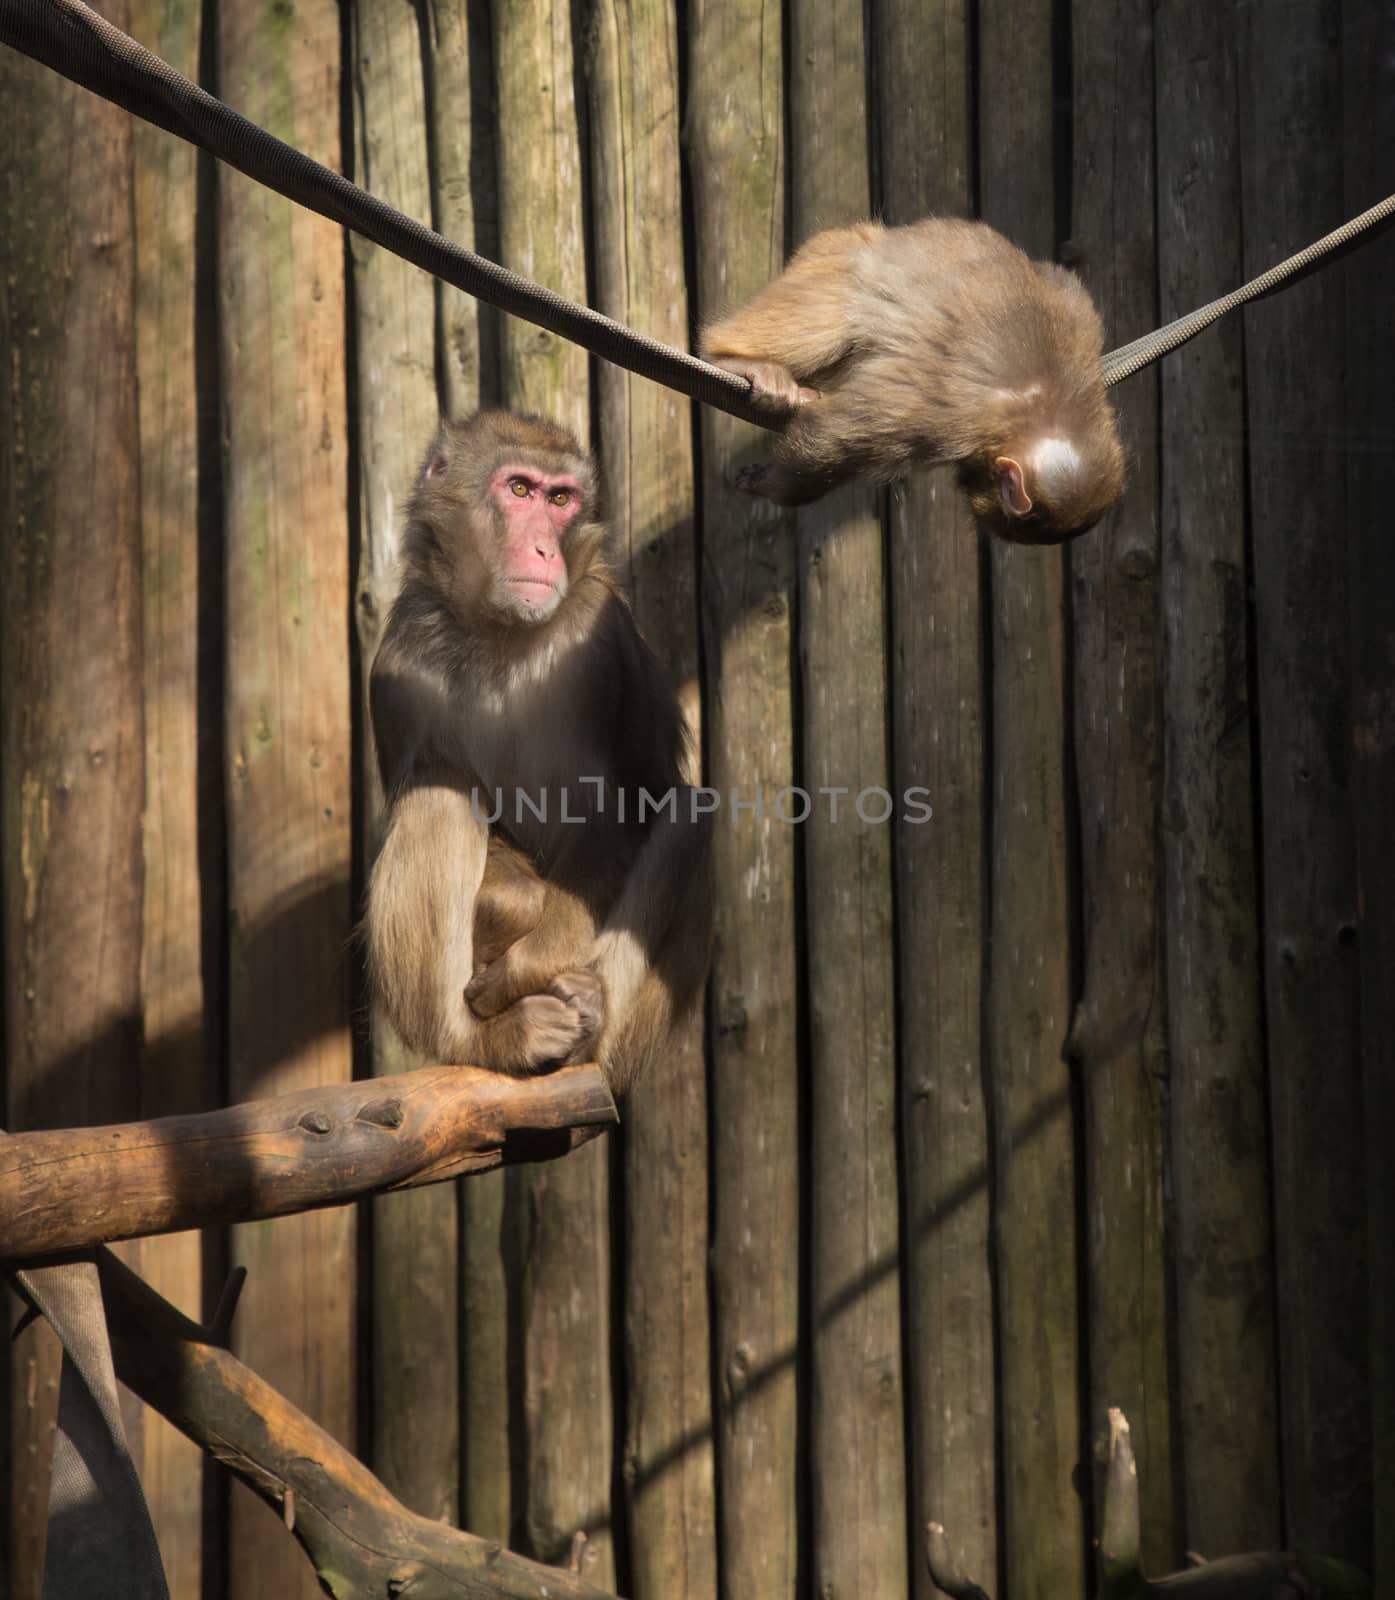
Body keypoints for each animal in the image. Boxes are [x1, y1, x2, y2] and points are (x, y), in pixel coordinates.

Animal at [364, 406, 713, 1094]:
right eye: (520, 489)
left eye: (560, 499)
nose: (545, 549)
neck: (500, 632)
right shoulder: (397, 663)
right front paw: (511, 911)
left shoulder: (603, 639)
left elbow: (631, 808)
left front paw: (522, 968)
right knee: (439, 787)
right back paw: (489, 1040)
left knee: (689, 818)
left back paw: (588, 1009)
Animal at [703, 216, 1126, 540]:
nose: (982, 508)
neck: (1053, 408)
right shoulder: (946, 415)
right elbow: (835, 436)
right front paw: (773, 484)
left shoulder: (1081, 318)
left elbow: (1055, 279)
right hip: (831, 262)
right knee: (836, 310)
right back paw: (732, 358)